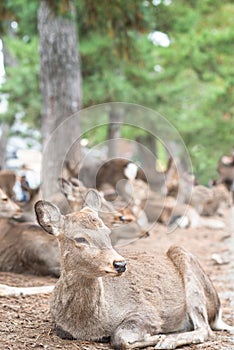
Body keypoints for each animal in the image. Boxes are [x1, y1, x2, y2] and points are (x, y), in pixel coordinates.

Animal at [35, 191, 234, 350]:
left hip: (188, 267)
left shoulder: (147, 311)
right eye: (80, 238)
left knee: (205, 329)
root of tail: (217, 310)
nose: (120, 264)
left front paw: (158, 336)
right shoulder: (60, 327)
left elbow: (119, 337)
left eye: (107, 232)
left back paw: (168, 341)